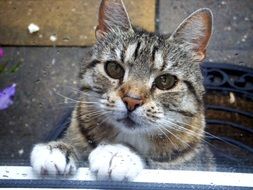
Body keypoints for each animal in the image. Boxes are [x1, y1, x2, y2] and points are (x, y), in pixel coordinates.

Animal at [31, 0, 213, 181]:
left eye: (165, 81)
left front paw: (118, 154)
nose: (132, 101)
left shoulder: (191, 167)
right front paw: (59, 148)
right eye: (114, 68)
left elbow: (158, 165)